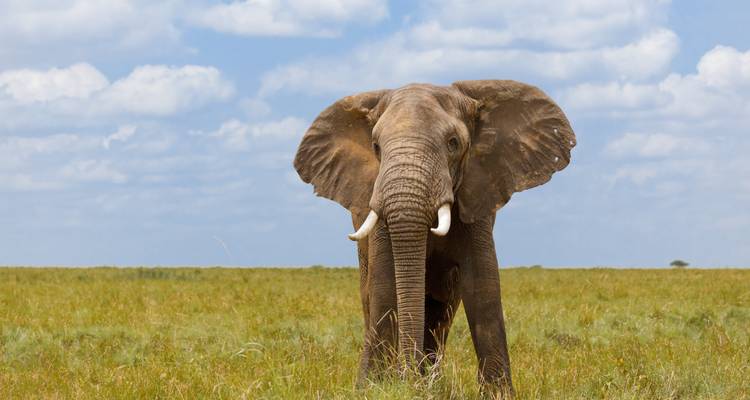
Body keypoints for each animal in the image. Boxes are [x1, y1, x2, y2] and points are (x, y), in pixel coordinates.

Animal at [293, 80, 575, 395]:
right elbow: (385, 286)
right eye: (376, 147)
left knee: (442, 311)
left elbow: (483, 286)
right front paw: (375, 389)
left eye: (453, 143)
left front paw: (499, 395)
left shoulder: (477, 196)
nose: (407, 380)